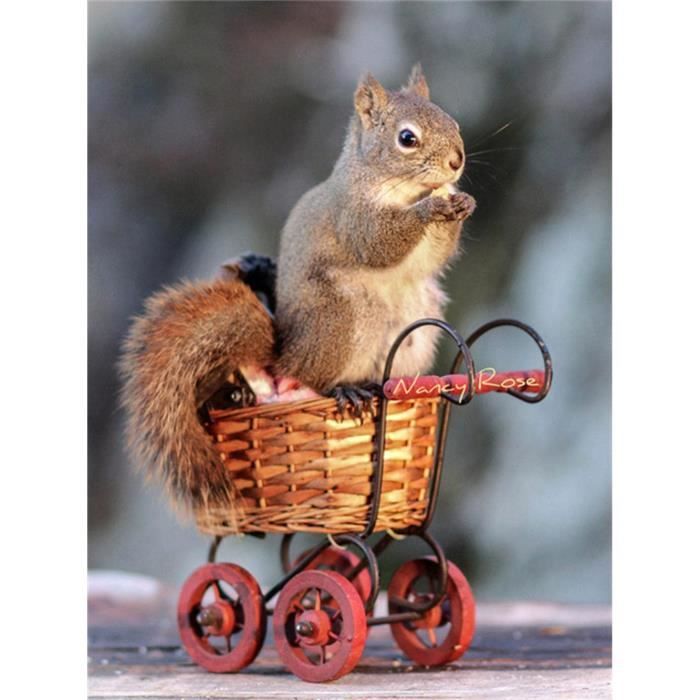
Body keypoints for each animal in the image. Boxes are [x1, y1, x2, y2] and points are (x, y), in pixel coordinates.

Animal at [274, 64, 476, 412]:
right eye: (407, 138)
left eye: (454, 123)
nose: (456, 161)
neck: (407, 189)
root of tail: (287, 354)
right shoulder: (353, 216)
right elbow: (377, 244)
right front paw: (429, 207)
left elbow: (433, 256)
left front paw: (464, 202)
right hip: (335, 321)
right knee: (312, 377)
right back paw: (342, 389)